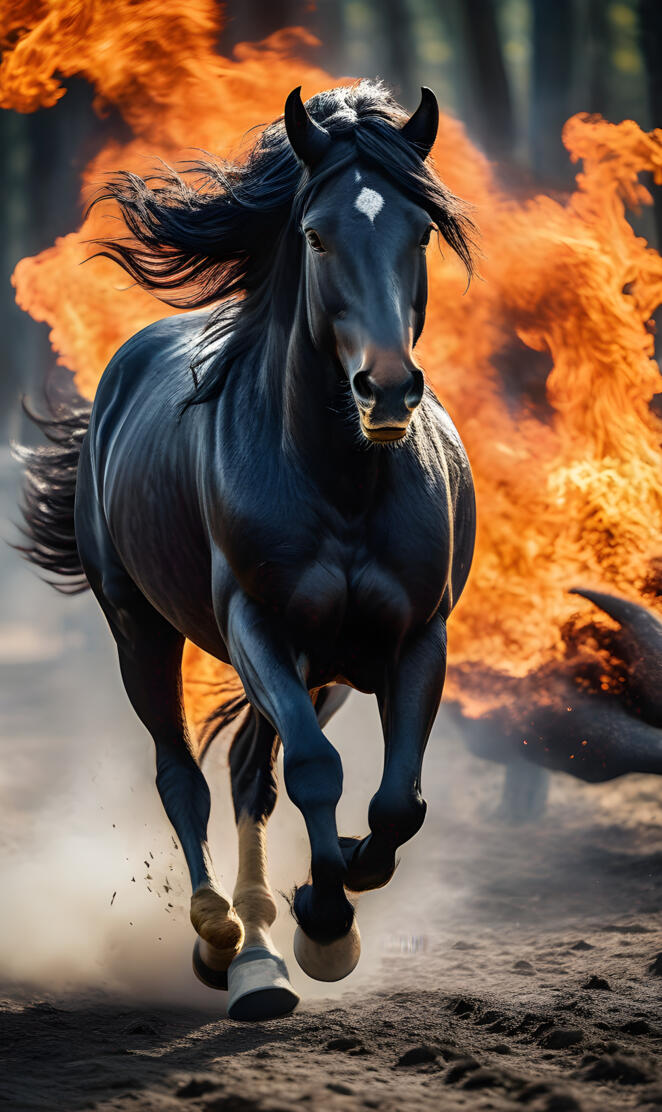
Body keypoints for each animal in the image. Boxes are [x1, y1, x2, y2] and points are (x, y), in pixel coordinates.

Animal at [17, 81, 477, 1021]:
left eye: (419, 231)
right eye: (316, 234)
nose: (387, 389)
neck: (341, 482)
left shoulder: (414, 639)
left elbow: (394, 803)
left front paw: (326, 909)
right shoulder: (256, 625)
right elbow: (315, 772)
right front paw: (323, 919)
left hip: (320, 669)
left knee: (246, 775)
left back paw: (263, 948)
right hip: (143, 632)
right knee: (185, 778)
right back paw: (225, 942)